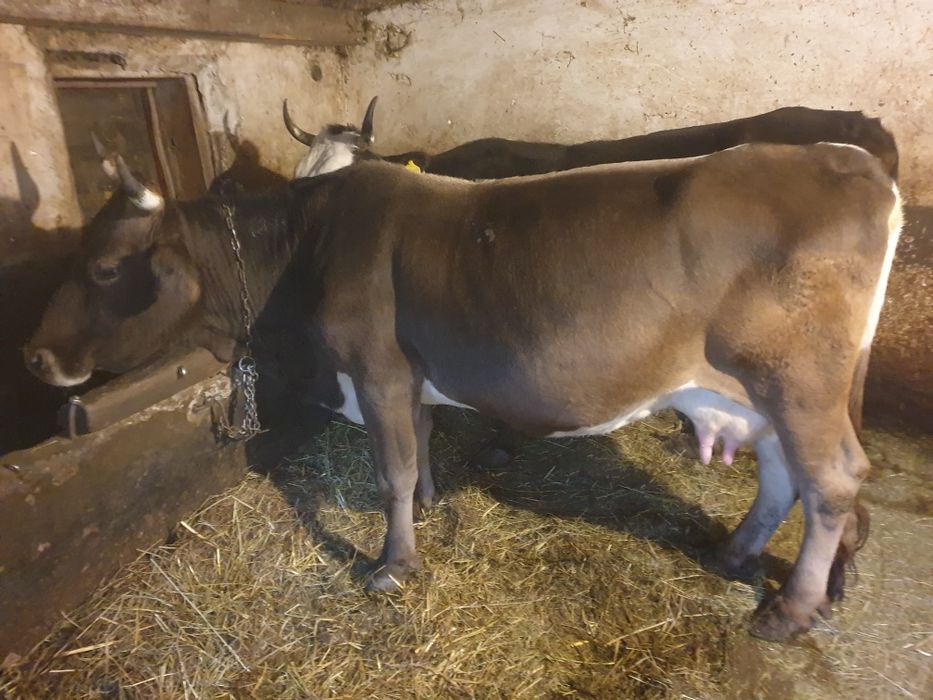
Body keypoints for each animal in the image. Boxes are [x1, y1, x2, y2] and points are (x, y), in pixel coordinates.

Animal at [26, 142, 902, 641]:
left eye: (105, 267)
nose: (35, 358)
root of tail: (852, 161)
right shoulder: (408, 373)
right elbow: (419, 446)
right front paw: (430, 509)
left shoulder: (375, 366)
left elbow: (390, 470)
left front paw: (392, 564)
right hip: (758, 394)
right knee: (783, 476)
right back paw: (734, 554)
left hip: (796, 381)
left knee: (830, 482)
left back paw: (788, 611)